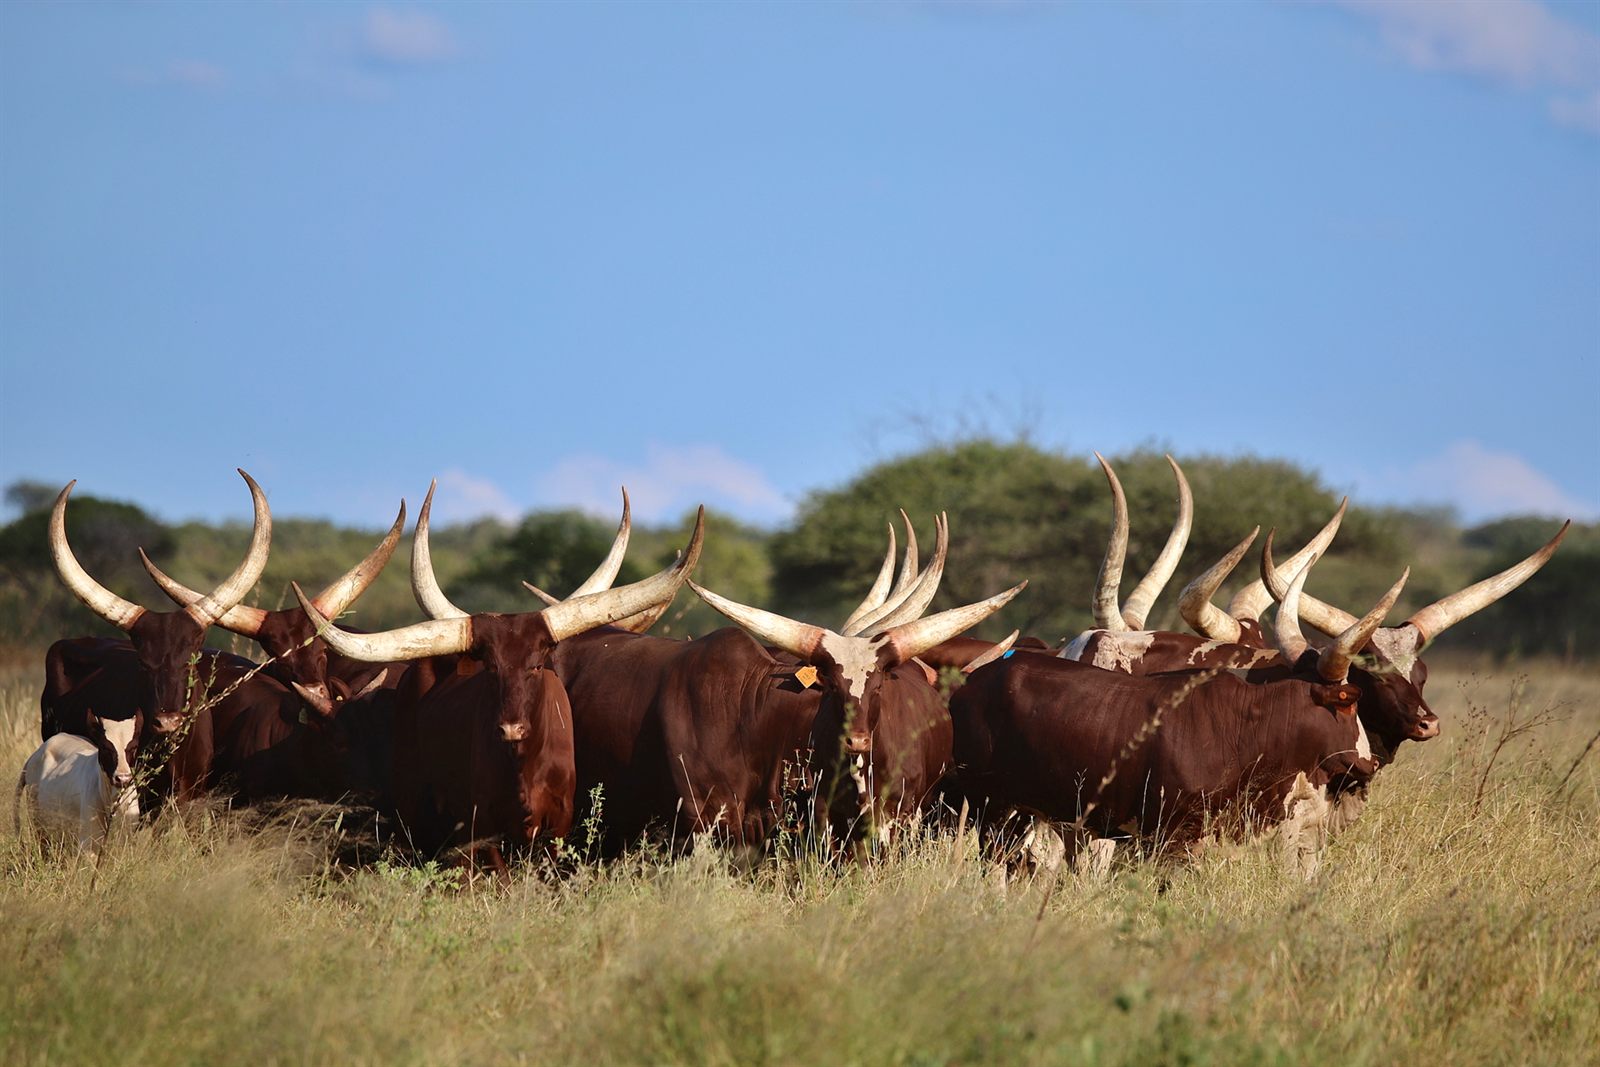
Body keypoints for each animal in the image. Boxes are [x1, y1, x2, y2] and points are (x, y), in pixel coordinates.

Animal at [16, 712, 141, 859]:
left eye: (133, 747)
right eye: (105, 747)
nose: (122, 778)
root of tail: (36, 754)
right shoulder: (88, 847)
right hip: (39, 825)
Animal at [295, 486, 705, 867]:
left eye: (537, 664)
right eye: (490, 667)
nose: (511, 729)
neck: (523, 769)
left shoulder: (556, 831)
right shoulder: (483, 834)